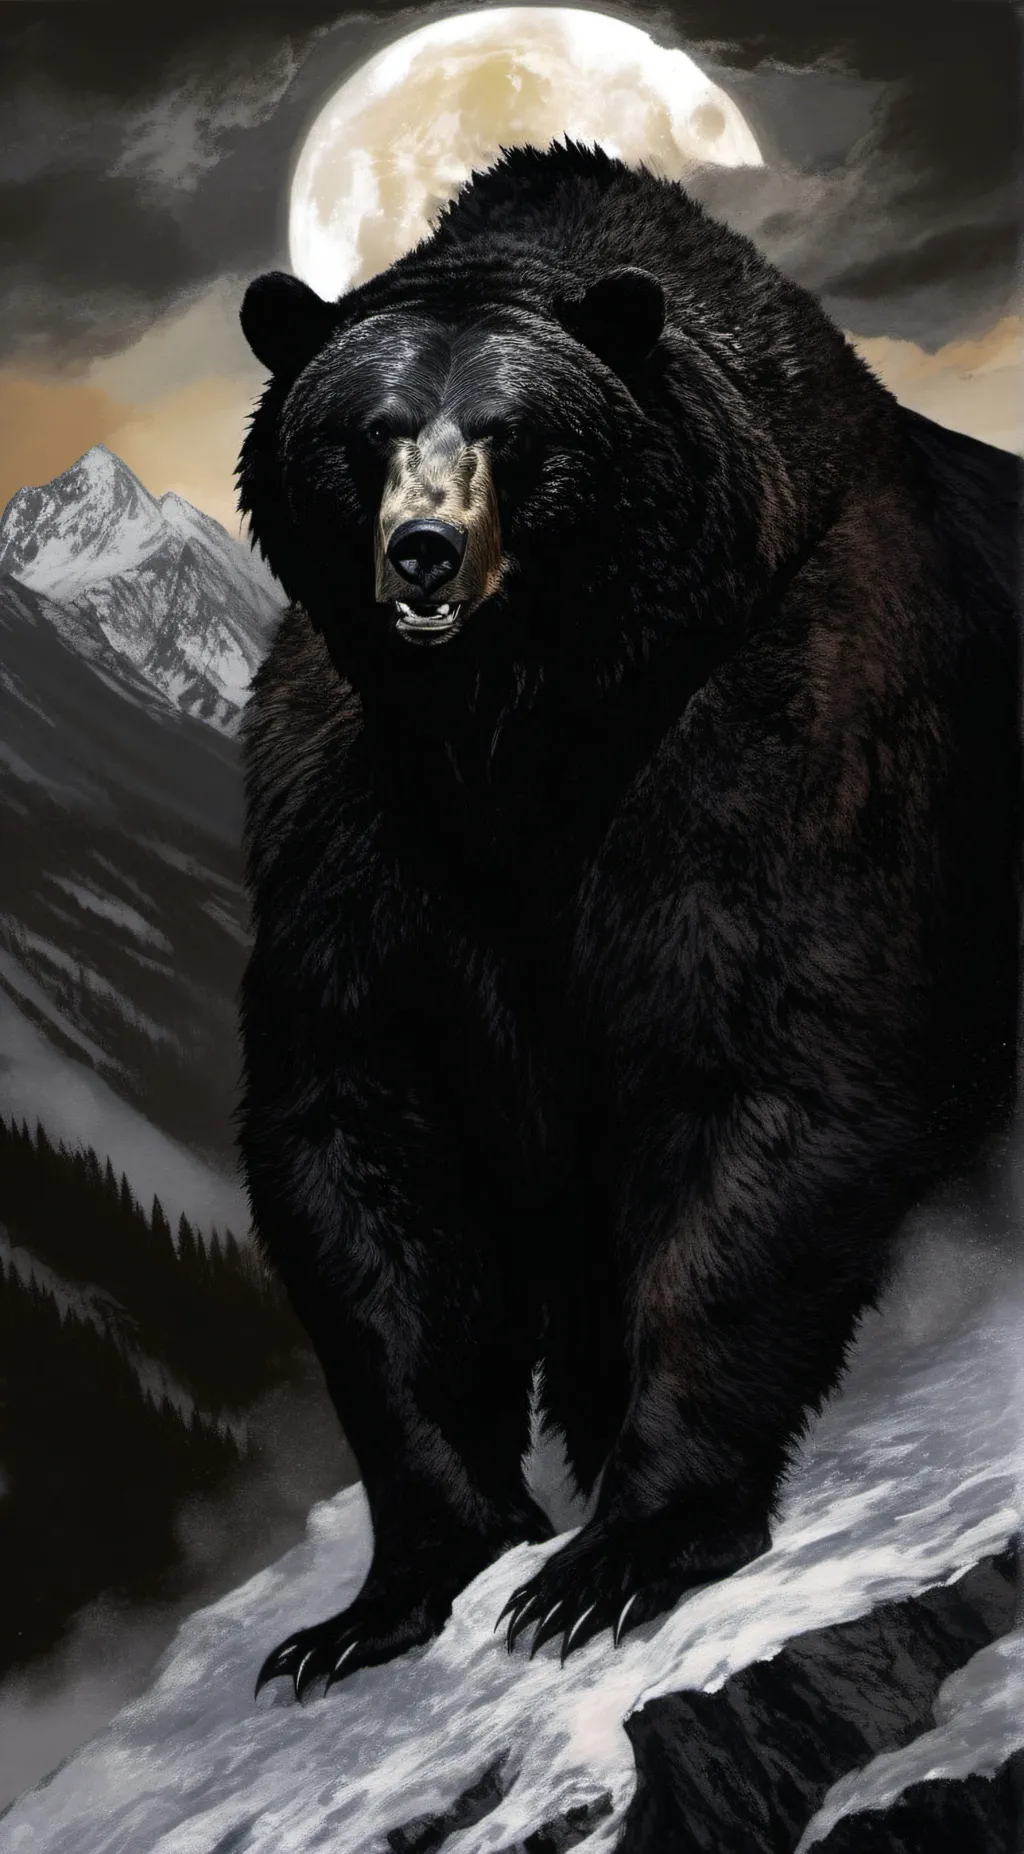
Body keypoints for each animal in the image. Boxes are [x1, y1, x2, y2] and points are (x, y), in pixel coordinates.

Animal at [235, 140, 1020, 1702]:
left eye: (513, 433)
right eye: (364, 430)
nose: (422, 555)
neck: (519, 729)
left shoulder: (779, 724)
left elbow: (765, 1075)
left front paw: (616, 1554)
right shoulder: (355, 823)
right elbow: (357, 1140)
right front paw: (384, 1597)